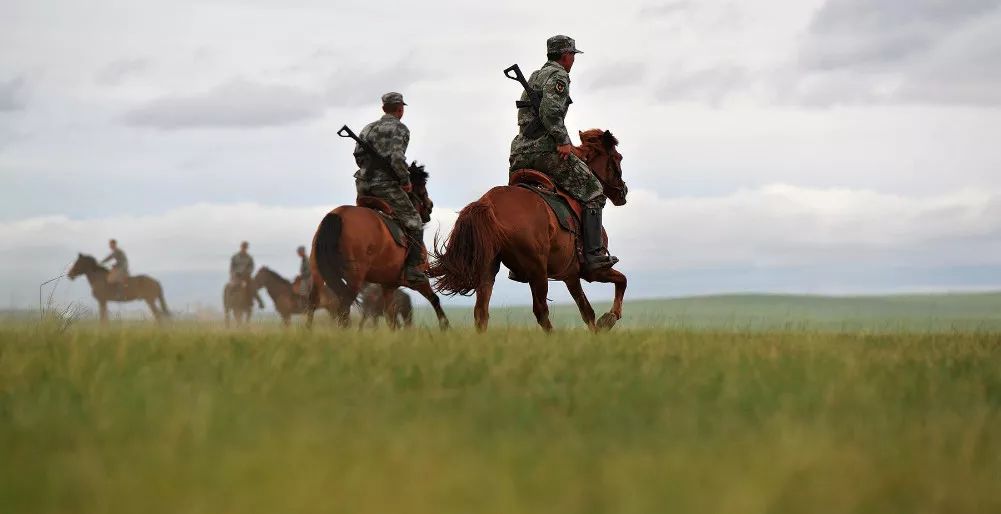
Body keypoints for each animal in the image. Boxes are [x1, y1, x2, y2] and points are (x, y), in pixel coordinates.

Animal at [308, 162, 450, 330]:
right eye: (421, 185)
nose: (430, 205)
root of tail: (338, 215)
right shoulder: (419, 280)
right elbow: (434, 299)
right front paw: (445, 327)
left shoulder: (388, 286)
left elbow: (391, 318)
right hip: (354, 277)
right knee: (343, 307)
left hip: (318, 274)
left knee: (313, 303)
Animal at [432, 129, 632, 332]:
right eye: (618, 157)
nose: (623, 191)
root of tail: (487, 203)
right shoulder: (593, 272)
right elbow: (622, 281)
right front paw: (610, 318)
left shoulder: (570, 275)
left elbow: (587, 311)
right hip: (537, 271)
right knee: (541, 311)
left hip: (488, 268)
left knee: (481, 312)